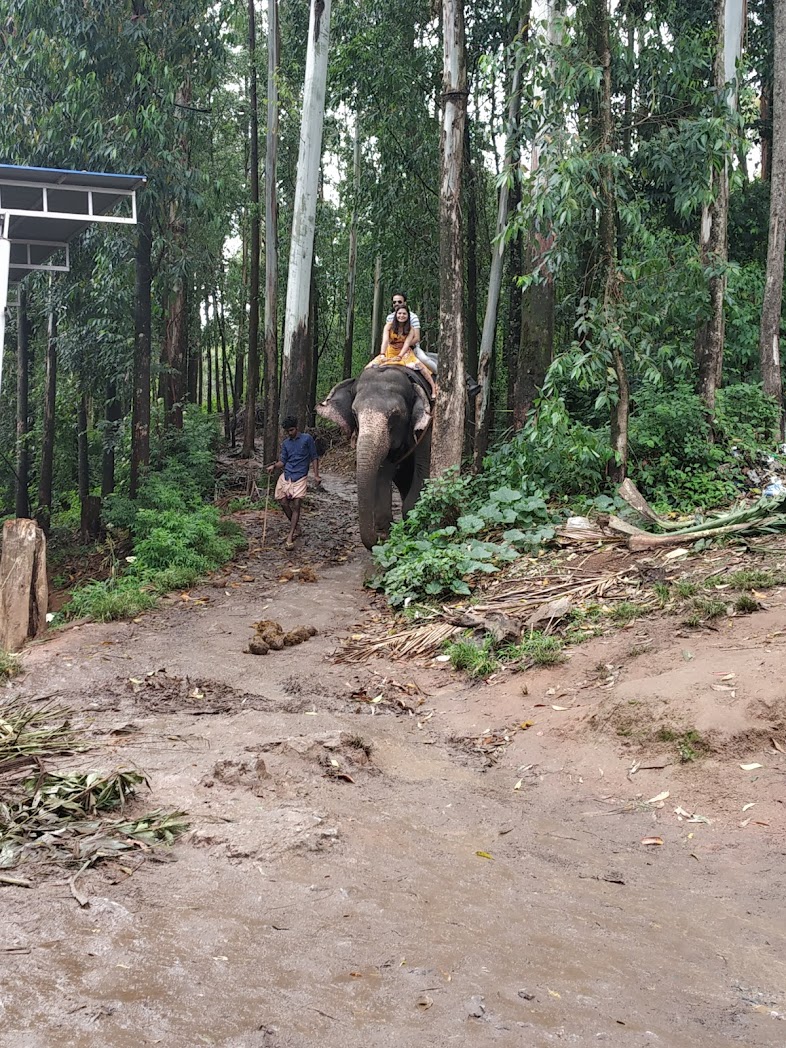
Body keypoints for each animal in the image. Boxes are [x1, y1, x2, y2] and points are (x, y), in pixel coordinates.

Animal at [316, 366, 433, 549]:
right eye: (354, 413)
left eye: (395, 415)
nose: (379, 539)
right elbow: (383, 472)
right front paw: (387, 531)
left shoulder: (426, 426)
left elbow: (422, 469)